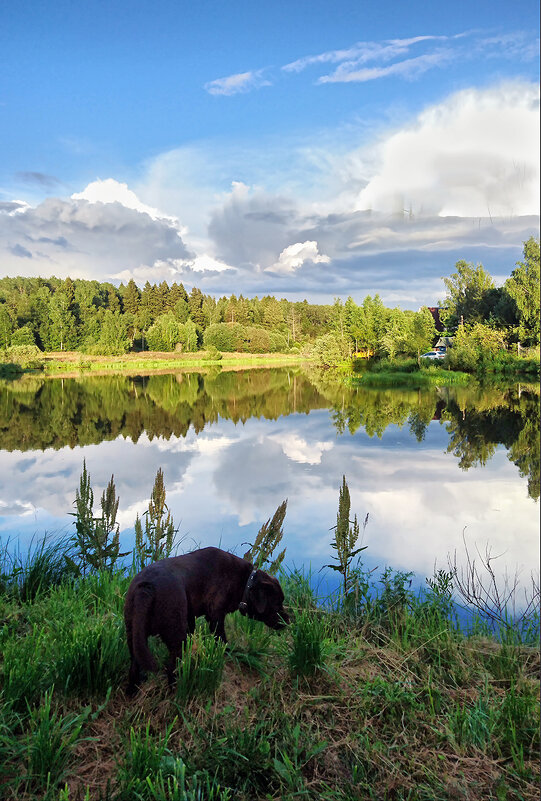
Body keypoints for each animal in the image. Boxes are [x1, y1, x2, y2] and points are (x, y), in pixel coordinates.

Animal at [124, 544, 288, 692]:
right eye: (277, 603)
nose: (288, 621)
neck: (245, 582)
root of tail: (147, 588)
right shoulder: (216, 615)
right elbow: (221, 638)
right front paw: (228, 652)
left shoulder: (190, 617)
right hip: (175, 636)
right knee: (171, 668)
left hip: (133, 637)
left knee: (134, 668)